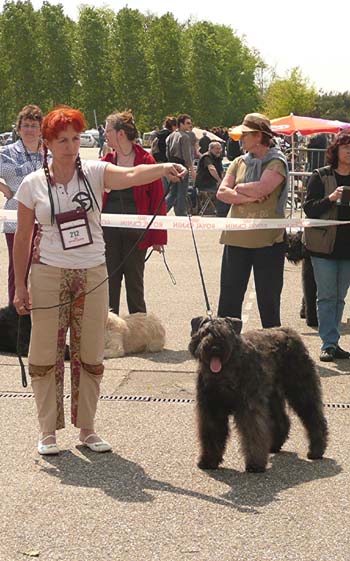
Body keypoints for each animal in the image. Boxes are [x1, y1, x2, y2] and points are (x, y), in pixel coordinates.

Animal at [189, 318, 328, 470]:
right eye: (204, 333)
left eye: (226, 334)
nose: (215, 348)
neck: (224, 374)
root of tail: (290, 333)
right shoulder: (211, 409)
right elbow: (211, 434)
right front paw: (208, 460)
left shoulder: (249, 407)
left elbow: (253, 433)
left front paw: (255, 464)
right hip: (272, 396)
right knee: (282, 420)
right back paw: (274, 446)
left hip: (301, 391)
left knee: (314, 418)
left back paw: (316, 450)